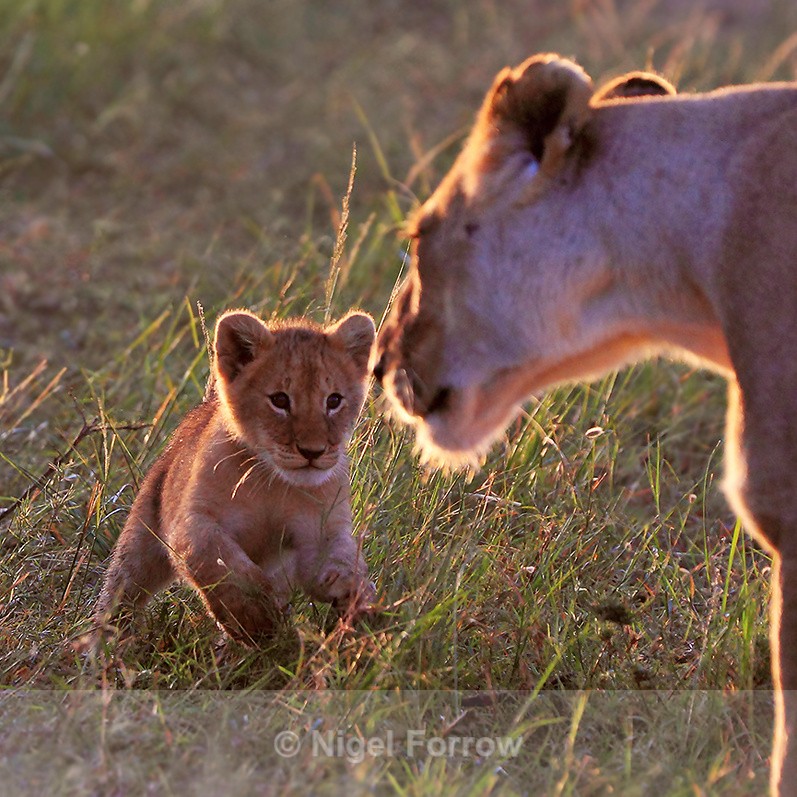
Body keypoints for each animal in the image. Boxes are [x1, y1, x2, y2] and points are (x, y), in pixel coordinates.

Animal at [95, 308, 376, 644]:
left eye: (334, 401)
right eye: (280, 400)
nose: (313, 451)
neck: (272, 481)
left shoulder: (320, 532)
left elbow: (338, 561)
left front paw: (357, 595)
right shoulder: (193, 522)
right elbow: (220, 560)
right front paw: (255, 616)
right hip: (139, 540)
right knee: (119, 593)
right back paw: (99, 646)